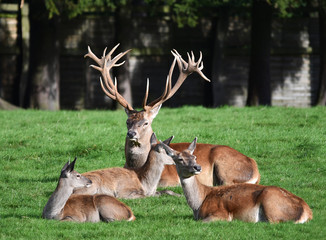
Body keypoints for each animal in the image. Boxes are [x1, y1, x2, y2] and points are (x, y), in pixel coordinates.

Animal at [84, 44, 260, 188]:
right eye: (127, 121)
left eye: (146, 123)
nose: (131, 133)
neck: (137, 166)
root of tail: (255, 166)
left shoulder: (171, 180)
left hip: (224, 165)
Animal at [162, 138, 312, 224]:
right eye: (180, 159)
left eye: (194, 157)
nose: (197, 167)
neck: (198, 204)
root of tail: (307, 212)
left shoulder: (221, 214)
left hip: (271, 202)